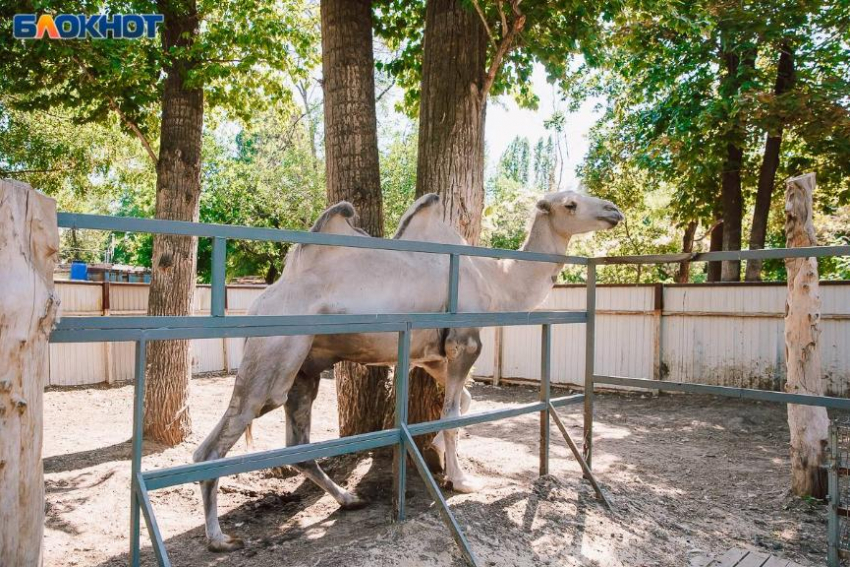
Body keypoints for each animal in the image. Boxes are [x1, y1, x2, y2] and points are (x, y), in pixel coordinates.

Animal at [194, 190, 624, 552]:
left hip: (305, 368)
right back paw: (219, 539)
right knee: (214, 444)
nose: (613, 211)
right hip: (273, 355)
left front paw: (440, 456)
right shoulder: (465, 343)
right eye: (570, 203)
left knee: (298, 445)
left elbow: (463, 404)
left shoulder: (431, 356)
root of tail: (256, 304)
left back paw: (349, 498)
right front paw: (461, 480)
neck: (495, 282)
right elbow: (451, 413)